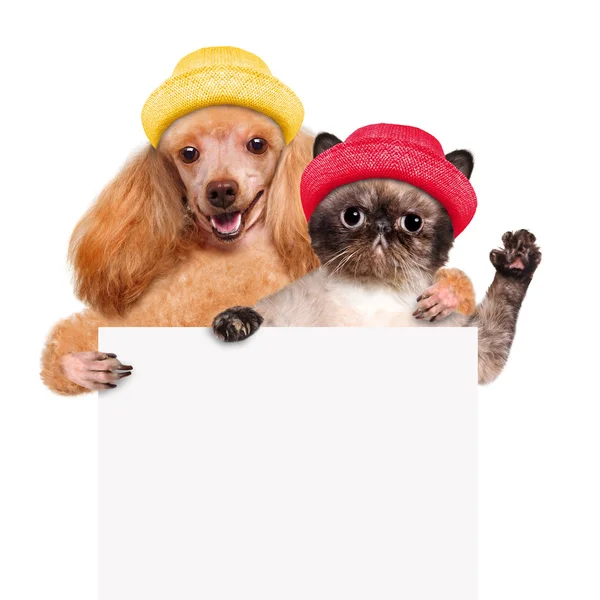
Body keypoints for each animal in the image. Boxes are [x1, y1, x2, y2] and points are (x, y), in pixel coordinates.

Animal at [213, 133, 540, 382]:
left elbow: (502, 302)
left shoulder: (477, 349)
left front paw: (517, 259)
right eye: (352, 217)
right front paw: (234, 322)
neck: (372, 295)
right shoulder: (284, 320)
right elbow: (257, 313)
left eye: (412, 223)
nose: (382, 226)